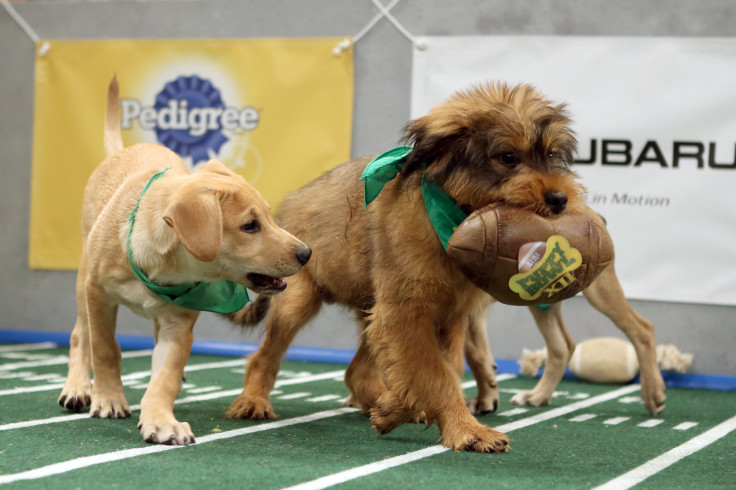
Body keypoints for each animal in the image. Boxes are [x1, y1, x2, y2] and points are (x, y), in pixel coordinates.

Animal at [58, 75, 310, 444]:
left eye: (269, 216)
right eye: (250, 225)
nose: (307, 253)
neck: (158, 269)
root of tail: (121, 151)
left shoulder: (179, 323)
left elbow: (163, 376)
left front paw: (162, 420)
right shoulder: (98, 295)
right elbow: (104, 348)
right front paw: (109, 398)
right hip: (82, 282)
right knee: (80, 334)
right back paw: (77, 387)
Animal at [227, 81, 584, 452]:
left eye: (552, 155)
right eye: (509, 157)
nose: (560, 200)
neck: (453, 221)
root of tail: (285, 208)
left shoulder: (448, 316)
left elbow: (445, 368)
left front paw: (399, 408)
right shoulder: (406, 312)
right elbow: (435, 373)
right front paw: (467, 430)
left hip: (372, 308)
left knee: (356, 371)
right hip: (298, 302)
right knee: (265, 356)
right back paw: (253, 400)